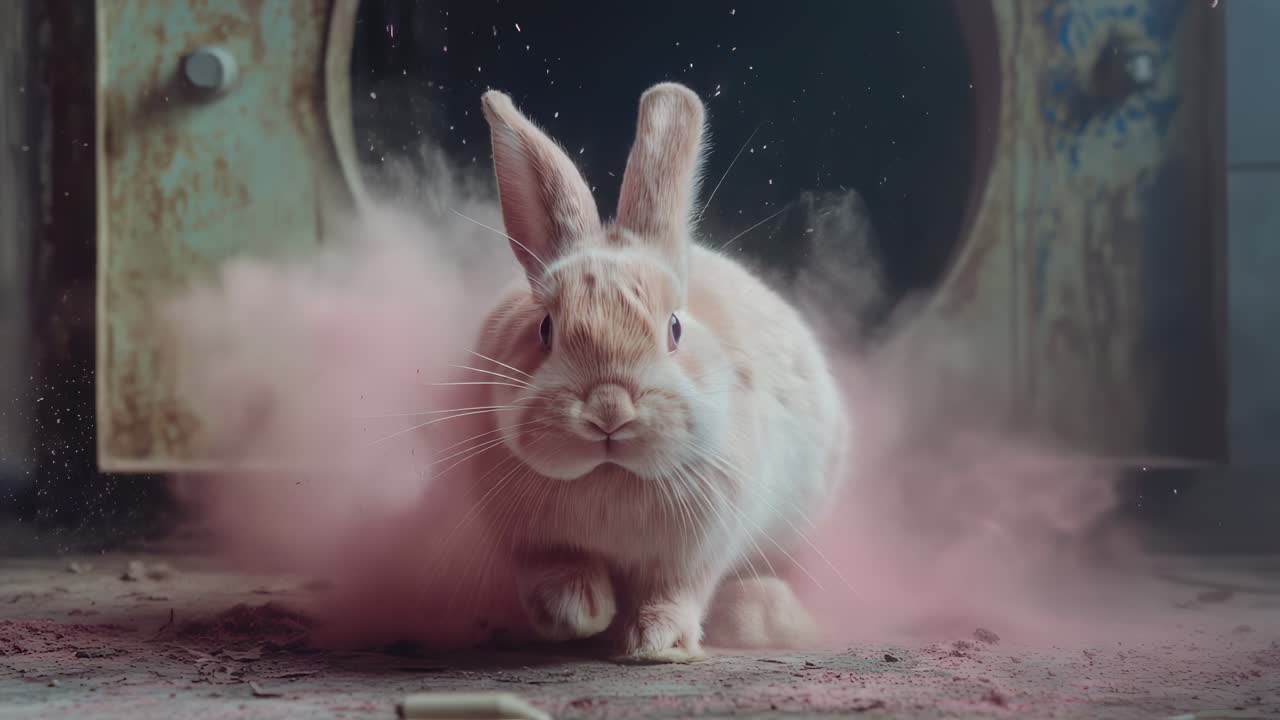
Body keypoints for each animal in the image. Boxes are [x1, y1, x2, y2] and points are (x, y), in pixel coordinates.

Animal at [464, 82, 850, 663]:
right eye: (545, 328)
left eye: (674, 328)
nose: (608, 411)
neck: (609, 478)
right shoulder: (532, 543)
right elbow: (559, 570)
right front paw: (579, 616)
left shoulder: (694, 552)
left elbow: (673, 592)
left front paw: (655, 643)